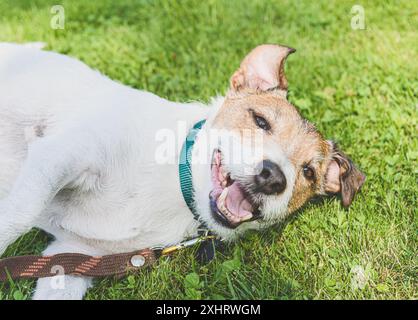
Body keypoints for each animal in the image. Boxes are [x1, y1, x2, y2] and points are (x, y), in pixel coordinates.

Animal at [0, 43, 366, 300]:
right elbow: (17, 217)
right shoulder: (62, 152)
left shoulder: (73, 256)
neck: (175, 186)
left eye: (308, 172)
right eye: (260, 121)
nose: (274, 177)